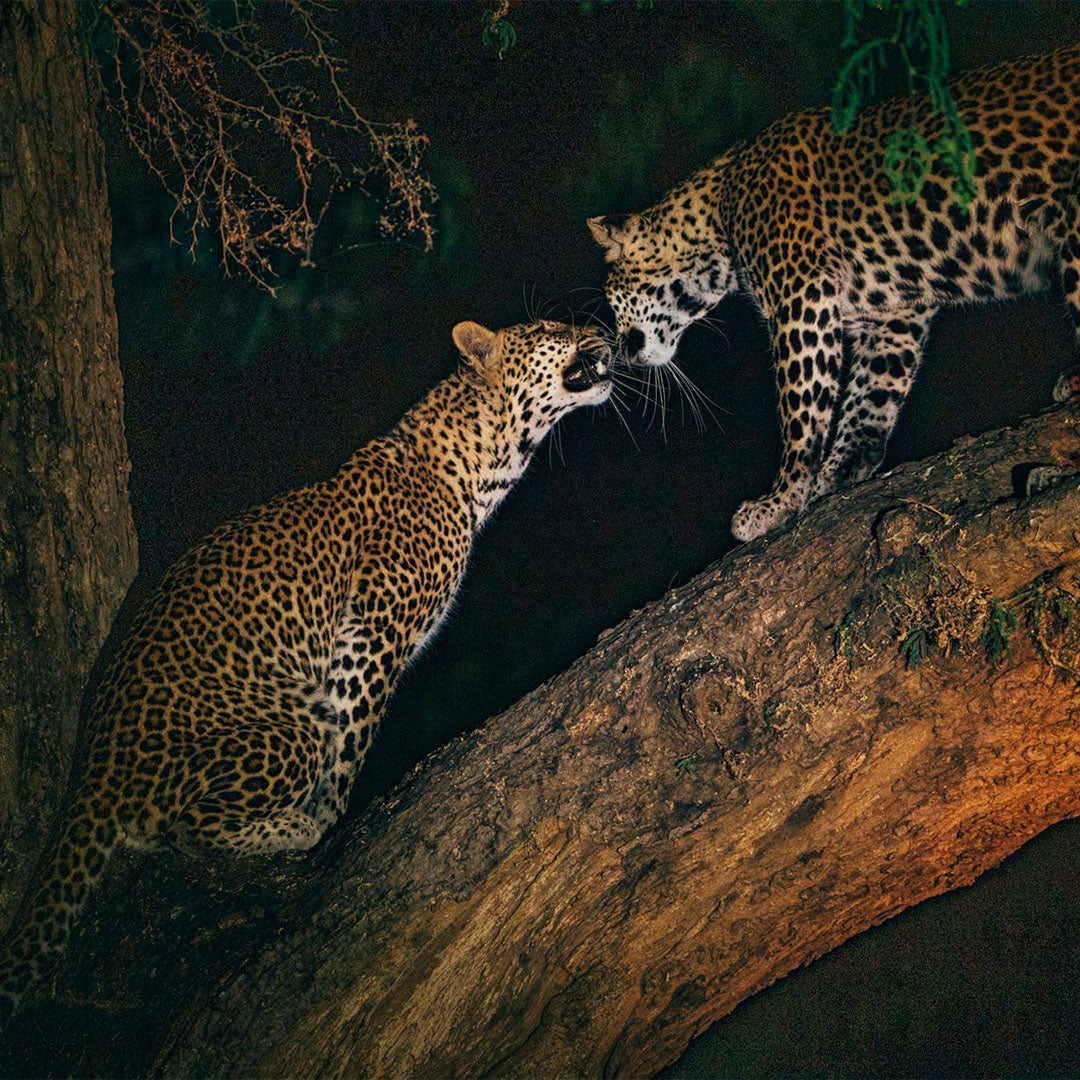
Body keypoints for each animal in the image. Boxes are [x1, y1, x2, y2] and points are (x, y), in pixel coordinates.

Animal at [0, 318, 612, 1027]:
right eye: (548, 329)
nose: (601, 331)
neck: (480, 467)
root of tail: (93, 771)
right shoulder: (371, 634)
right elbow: (350, 747)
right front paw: (328, 828)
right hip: (289, 729)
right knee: (187, 829)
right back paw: (293, 828)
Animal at [589, 44, 1080, 542]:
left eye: (612, 301)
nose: (622, 353)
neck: (718, 216)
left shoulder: (802, 295)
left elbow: (802, 410)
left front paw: (778, 501)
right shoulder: (895, 314)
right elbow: (873, 393)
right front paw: (839, 475)